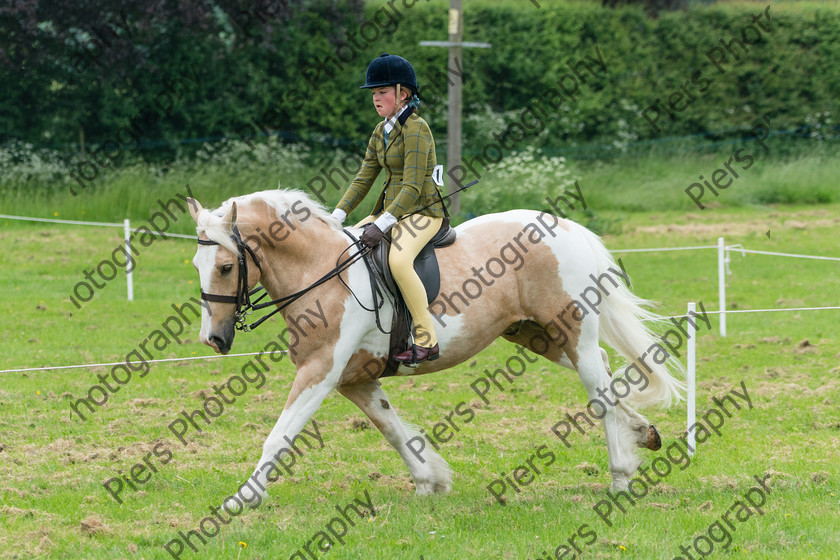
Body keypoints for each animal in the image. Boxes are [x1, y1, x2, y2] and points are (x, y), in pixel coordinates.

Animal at [185, 190, 684, 506]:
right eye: (196, 263)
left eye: (226, 266)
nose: (214, 340)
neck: (323, 271)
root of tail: (566, 227)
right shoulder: (354, 378)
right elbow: (391, 429)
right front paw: (431, 482)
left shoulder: (320, 371)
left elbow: (279, 435)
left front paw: (242, 500)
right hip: (536, 334)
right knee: (604, 371)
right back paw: (642, 434)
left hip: (571, 327)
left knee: (598, 390)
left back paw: (620, 477)